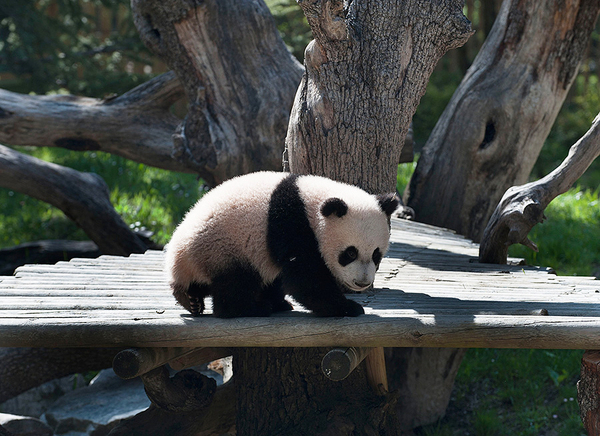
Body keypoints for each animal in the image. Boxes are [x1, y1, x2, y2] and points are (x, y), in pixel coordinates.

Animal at [165, 170, 398, 316]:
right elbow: (305, 276)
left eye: (376, 254)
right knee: (236, 282)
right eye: (350, 253)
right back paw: (252, 309)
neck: (311, 202)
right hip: (221, 248)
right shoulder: (290, 222)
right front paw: (347, 308)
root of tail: (176, 261)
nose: (362, 282)